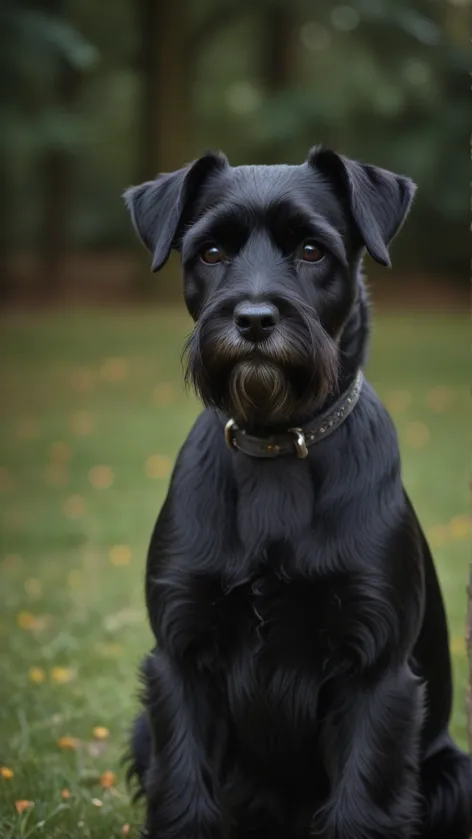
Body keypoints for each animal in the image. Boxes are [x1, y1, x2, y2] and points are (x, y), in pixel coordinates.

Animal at [122, 148, 472, 836]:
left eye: (312, 249)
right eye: (210, 252)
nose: (255, 319)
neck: (278, 446)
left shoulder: (374, 670)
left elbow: (362, 806)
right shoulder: (180, 659)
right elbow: (184, 797)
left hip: (453, 773)